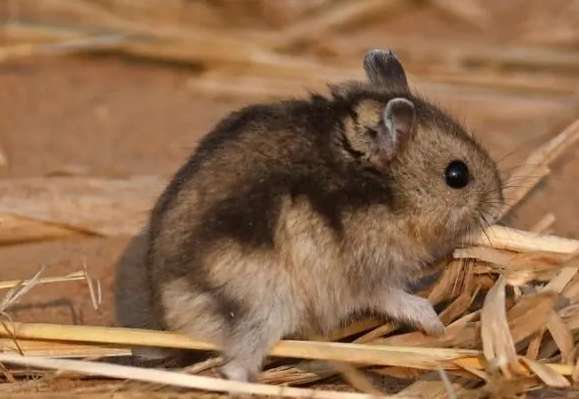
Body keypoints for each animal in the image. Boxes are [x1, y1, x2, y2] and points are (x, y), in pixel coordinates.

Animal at [144, 49, 502, 382]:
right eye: (457, 175)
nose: (498, 208)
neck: (388, 195)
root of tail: (171, 317)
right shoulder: (369, 276)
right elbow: (398, 300)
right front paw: (437, 326)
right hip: (264, 312)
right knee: (234, 369)